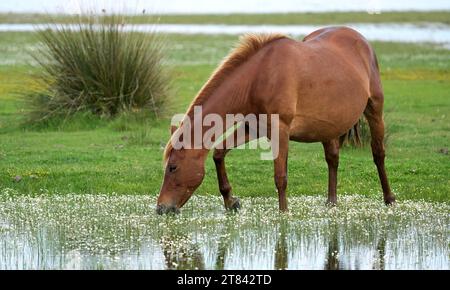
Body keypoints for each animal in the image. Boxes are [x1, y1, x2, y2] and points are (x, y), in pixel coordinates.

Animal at [156, 26, 396, 215]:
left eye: (173, 168)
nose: (161, 209)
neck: (258, 78)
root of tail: (360, 39)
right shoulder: (252, 127)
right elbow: (219, 153)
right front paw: (231, 201)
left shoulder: (280, 130)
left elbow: (280, 176)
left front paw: (283, 214)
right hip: (328, 125)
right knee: (333, 159)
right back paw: (331, 202)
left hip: (374, 111)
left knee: (378, 154)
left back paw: (389, 199)